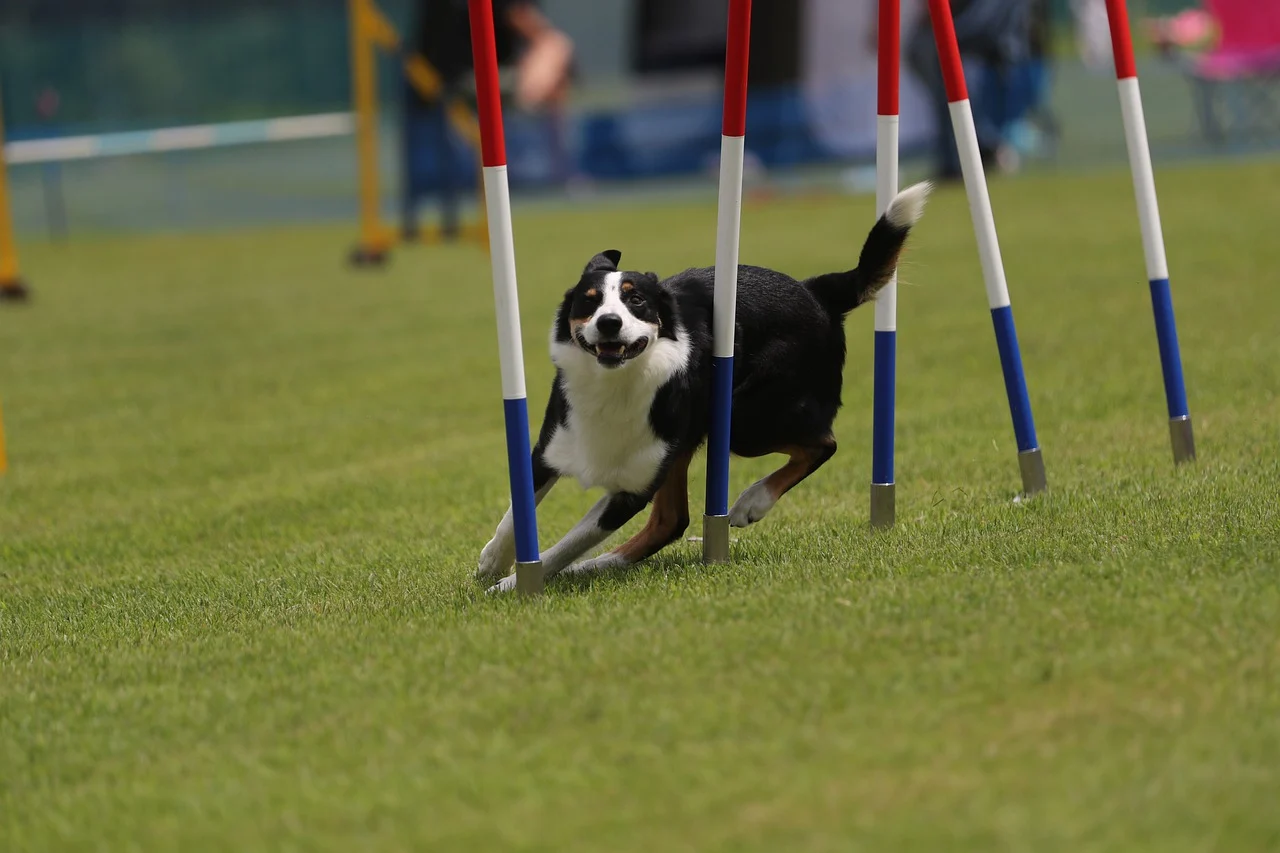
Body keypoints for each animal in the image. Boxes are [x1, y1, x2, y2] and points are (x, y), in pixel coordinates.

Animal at [481, 179, 931, 591]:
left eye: (636, 301)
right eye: (589, 300)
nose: (609, 322)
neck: (616, 386)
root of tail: (814, 290)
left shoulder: (633, 488)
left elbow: (569, 542)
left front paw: (514, 584)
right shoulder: (550, 449)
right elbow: (515, 514)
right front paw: (493, 561)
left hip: (746, 421)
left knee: (822, 444)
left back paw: (752, 502)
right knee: (670, 521)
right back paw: (593, 567)